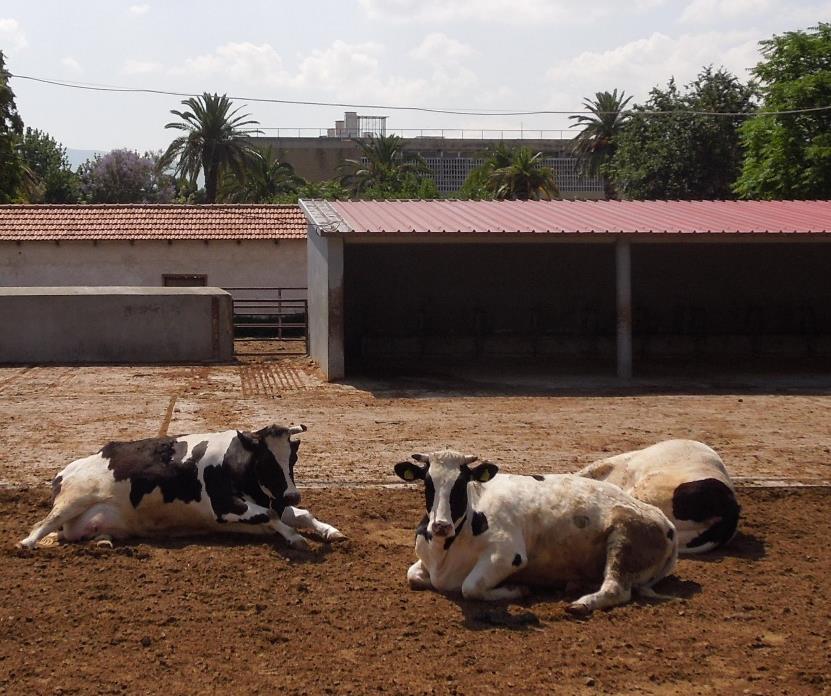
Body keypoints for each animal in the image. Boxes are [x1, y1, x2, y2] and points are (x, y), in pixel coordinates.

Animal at [18, 422, 344, 552]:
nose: (293, 493)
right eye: (266, 461)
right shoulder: (223, 507)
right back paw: (27, 545)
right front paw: (295, 538)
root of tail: (66, 470)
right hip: (73, 500)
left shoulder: (269, 501)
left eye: (292, 458)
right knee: (40, 525)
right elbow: (272, 516)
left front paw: (331, 531)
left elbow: (300, 515)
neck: (235, 463)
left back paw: (104, 542)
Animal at [394, 446, 676, 616]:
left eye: (461, 483)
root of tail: (665, 522)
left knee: (616, 589)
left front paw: (517, 589)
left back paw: (581, 603)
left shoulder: (508, 554)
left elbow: (470, 586)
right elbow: (413, 575)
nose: (441, 525)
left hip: (624, 536)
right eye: (427, 483)